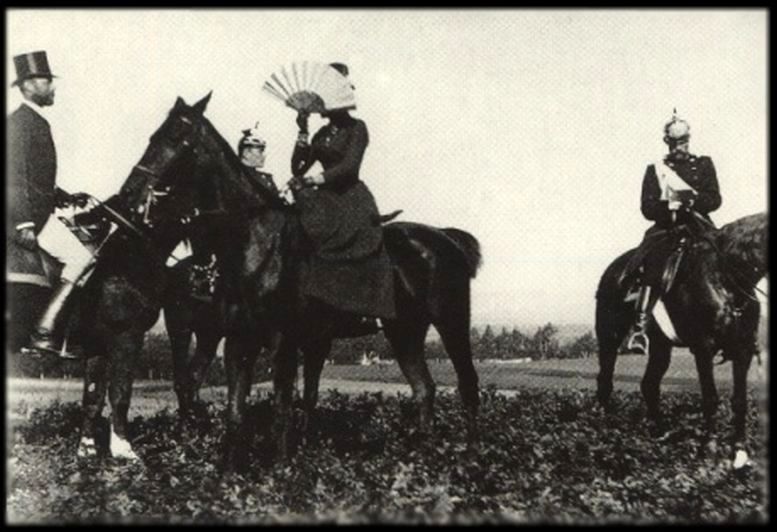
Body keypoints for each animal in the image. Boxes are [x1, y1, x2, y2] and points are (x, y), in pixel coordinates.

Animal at [120, 94, 478, 466]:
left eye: (177, 136)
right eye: (153, 135)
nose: (130, 193)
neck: (259, 246)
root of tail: (445, 238)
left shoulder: (286, 342)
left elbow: (284, 408)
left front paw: (283, 468)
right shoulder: (239, 340)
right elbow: (237, 411)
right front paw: (230, 470)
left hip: (451, 321)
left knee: (467, 382)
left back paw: (472, 454)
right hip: (404, 330)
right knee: (424, 388)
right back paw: (423, 456)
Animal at [596, 212, 768, 466]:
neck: (725, 278)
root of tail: (613, 271)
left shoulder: (743, 350)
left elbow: (739, 400)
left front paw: (740, 451)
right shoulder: (704, 348)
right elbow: (710, 398)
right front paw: (709, 447)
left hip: (660, 347)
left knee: (649, 385)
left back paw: (658, 434)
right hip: (609, 337)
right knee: (605, 382)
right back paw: (604, 432)